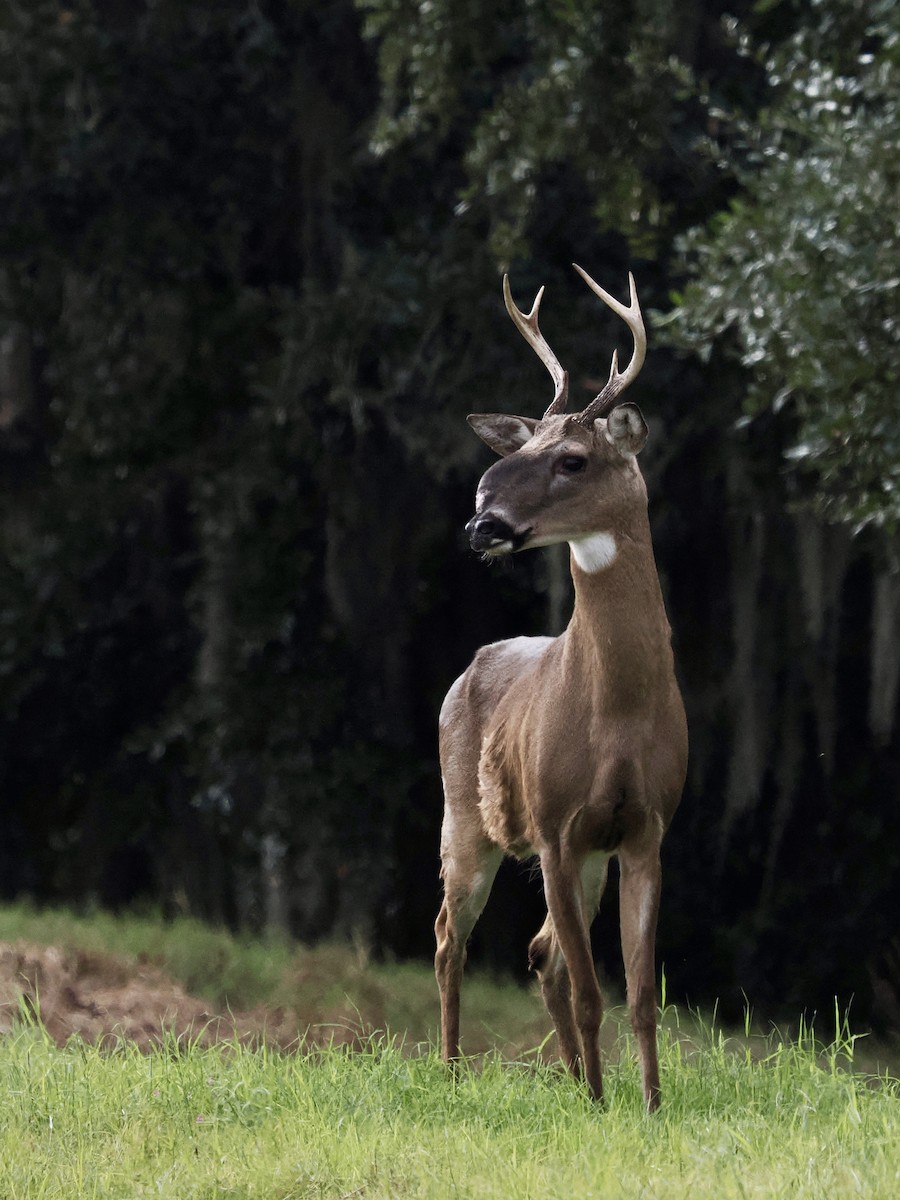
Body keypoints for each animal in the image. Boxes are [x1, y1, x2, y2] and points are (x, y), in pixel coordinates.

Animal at [434, 264, 688, 1111]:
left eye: (572, 459)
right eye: (527, 448)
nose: (481, 524)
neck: (621, 713)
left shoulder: (643, 828)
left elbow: (638, 992)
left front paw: (646, 1105)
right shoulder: (552, 824)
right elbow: (589, 989)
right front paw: (608, 1105)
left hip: (581, 857)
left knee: (541, 950)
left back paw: (577, 1081)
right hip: (466, 820)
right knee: (450, 937)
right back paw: (450, 1071)